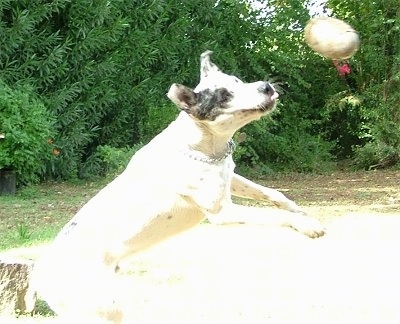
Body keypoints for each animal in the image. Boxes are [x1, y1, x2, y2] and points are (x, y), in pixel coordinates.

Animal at [29, 50, 326, 322]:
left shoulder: (231, 179)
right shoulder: (222, 213)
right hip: (106, 308)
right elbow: (273, 215)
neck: (205, 146)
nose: (265, 86)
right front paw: (307, 225)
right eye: (224, 96)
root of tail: (41, 275)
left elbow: (273, 194)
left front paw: (299, 211)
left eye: (238, 80)